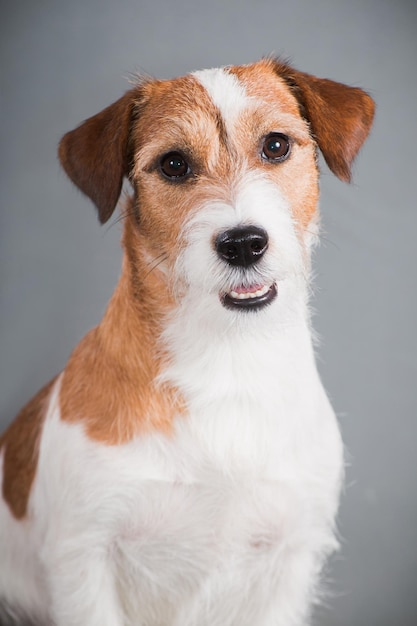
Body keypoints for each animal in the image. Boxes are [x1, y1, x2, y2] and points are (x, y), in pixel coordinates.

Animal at [0, 59, 374, 624]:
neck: (228, 360)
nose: (243, 243)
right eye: (174, 164)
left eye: (276, 146)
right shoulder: (82, 559)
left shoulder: (291, 556)